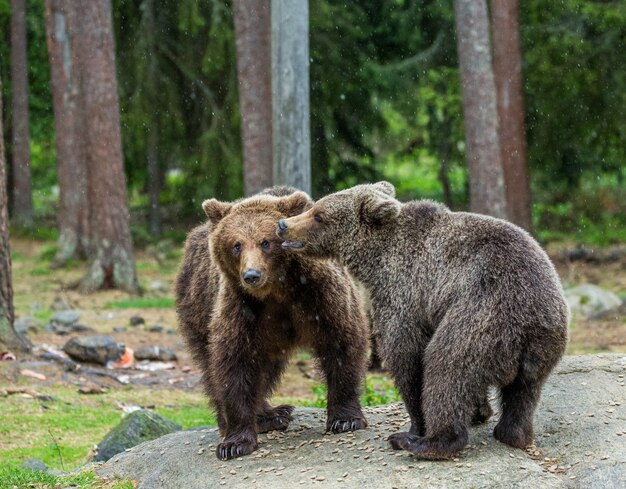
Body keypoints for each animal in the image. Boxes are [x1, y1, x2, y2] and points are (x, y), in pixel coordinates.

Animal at [173, 187, 368, 458]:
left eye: (265, 242)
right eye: (236, 245)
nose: (251, 275)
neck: (278, 289)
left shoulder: (322, 296)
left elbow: (341, 342)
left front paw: (345, 419)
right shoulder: (243, 309)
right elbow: (234, 365)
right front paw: (234, 442)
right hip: (198, 305)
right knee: (211, 364)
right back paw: (265, 416)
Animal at [276, 181, 568, 460]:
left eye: (319, 215)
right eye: (315, 208)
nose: (283, 225)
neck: (375, 261)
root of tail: (533, 320)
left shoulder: (404, 293)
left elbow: (407, 358)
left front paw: (415, 425)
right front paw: (479, 410)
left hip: (485, 315)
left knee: (447, 364)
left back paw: (424, 442)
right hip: (544, 342)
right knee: (524, 391)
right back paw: (512, 433)